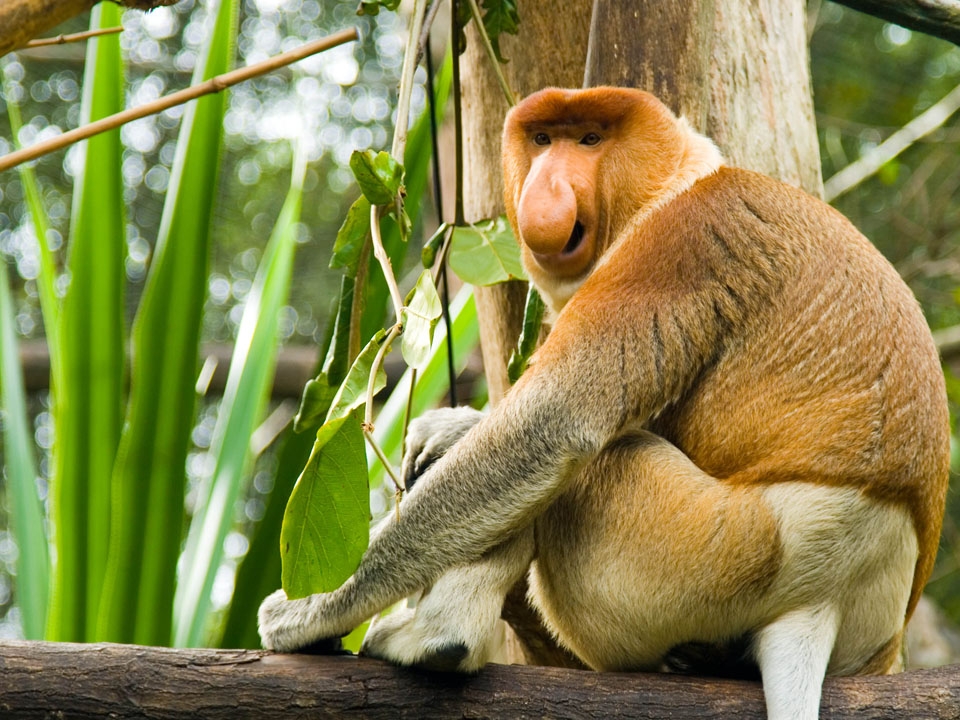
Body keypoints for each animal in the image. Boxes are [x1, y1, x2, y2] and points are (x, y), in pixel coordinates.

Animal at [258, 86, 948, 720]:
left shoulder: (678, 244)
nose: (547, 182)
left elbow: (552, 426)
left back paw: (440, 640)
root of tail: (830, 598)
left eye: (590, 140)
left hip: (721, 551)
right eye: (543, 139)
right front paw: (448, 427)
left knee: (583, 470)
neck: (676, 182)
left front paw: (309, 608)